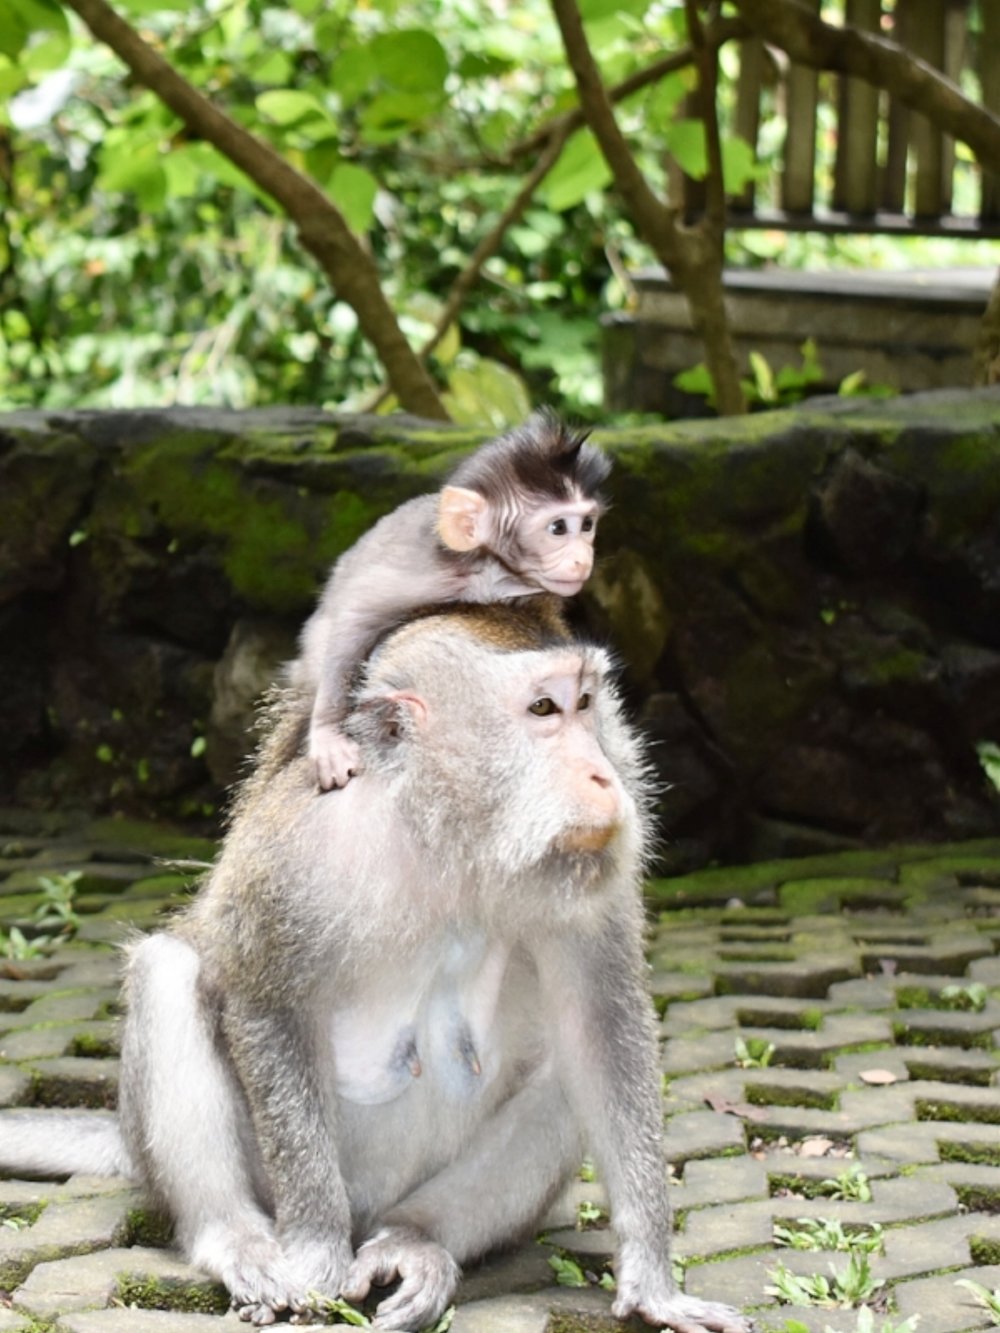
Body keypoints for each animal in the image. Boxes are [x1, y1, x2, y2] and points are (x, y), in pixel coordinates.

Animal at [0, 605, 752, 1333]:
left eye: (587, 704)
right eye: (544, 708)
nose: (604, 775)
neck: (446, 832)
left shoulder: (591, 875)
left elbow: (603, 1027)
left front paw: (654, 1283)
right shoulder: (297, 852)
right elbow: (266, 1001)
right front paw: (314, 1249)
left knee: (565, 1073)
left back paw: (413, 1239)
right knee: (167, 972)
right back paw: (238, 1238)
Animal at [292, 405, 610, 789]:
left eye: (587, 525)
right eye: (558, 528)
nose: (583, 558)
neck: (490, 572)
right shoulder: (429, 576)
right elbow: (356, 617)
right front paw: (327, 735)